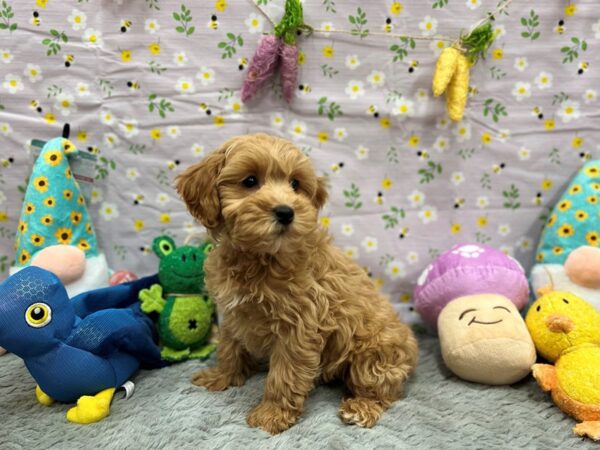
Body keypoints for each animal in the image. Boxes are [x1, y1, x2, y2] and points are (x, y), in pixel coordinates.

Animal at [176, 133, 414, 432]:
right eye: (250, 181)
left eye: (295, 184)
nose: (286, 212)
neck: (259, 257)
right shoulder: (233, 314)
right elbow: (229, 348)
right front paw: (222, 376)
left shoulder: (298, 326)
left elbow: (284, 374)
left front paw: (272, 414)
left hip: (373, 354)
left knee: (381, 389)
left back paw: (361, 407)